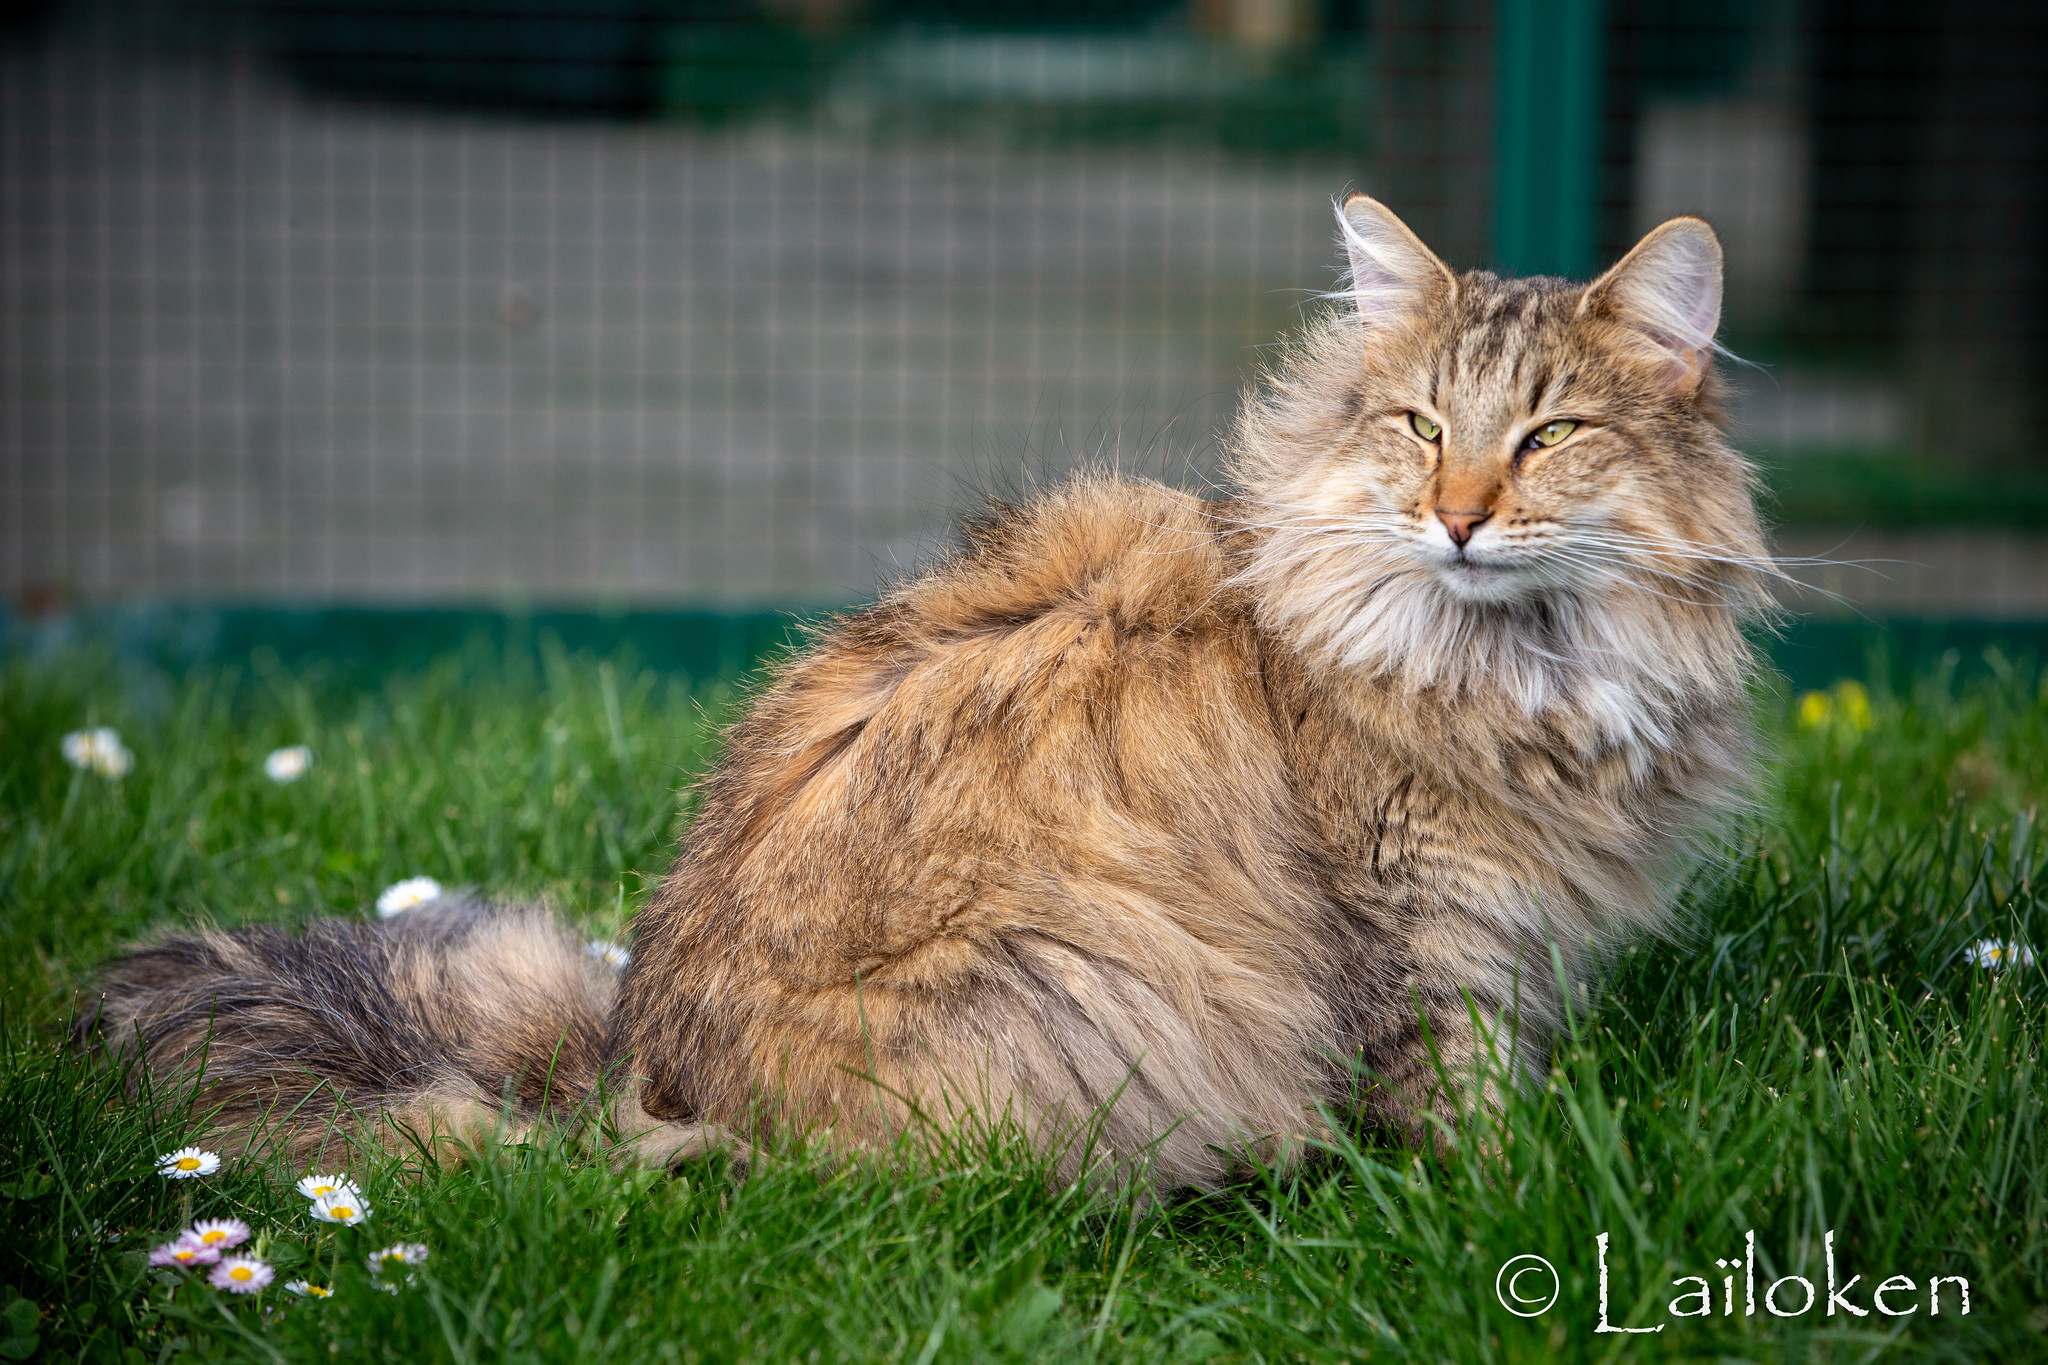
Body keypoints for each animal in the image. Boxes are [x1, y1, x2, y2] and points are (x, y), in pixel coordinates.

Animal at [76, 195, 1773, 1190]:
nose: (1462, 515)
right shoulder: (1422, 946)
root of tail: (626, 1077)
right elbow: (1466, 1120)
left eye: (1548, 437)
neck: (1518, 657)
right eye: (1421, 426)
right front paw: (1520, 1189)